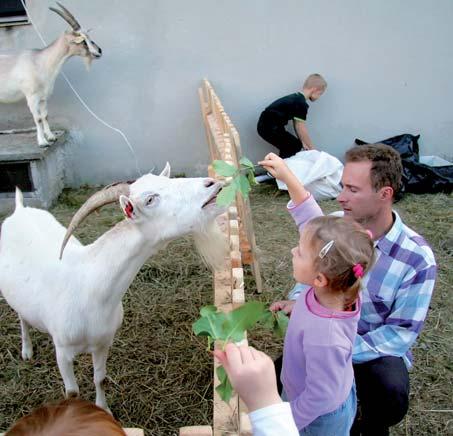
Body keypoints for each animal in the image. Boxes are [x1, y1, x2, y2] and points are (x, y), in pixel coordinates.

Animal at [0, 164, 226, 412]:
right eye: (150, 199)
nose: (211, 183)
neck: (88, 286)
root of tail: (19, 210)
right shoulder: (62, 351)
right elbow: (72, 392)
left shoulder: (103, 343)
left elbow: (100, 378)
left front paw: (104, 410)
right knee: (22, 318)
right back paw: (27, 351)